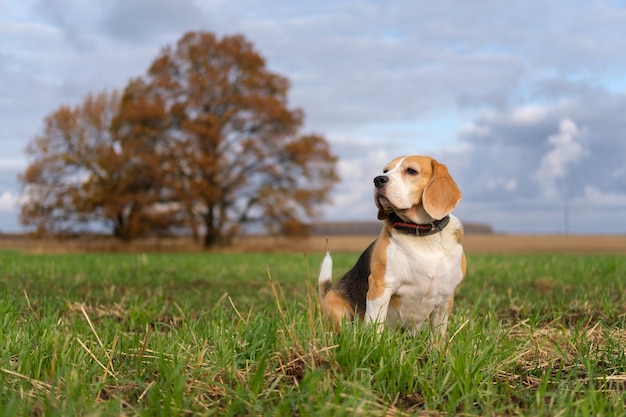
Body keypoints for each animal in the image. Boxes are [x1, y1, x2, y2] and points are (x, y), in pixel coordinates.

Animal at [316, 155, 464, 338]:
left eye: (411, 170)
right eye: (385, 170)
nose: (378, 180)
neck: (422, 235)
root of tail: (328, 293)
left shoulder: (445, 298)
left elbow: (438, 335)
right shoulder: (380, 287)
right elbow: (375, 326)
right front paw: (373, 344)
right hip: (338, 310)